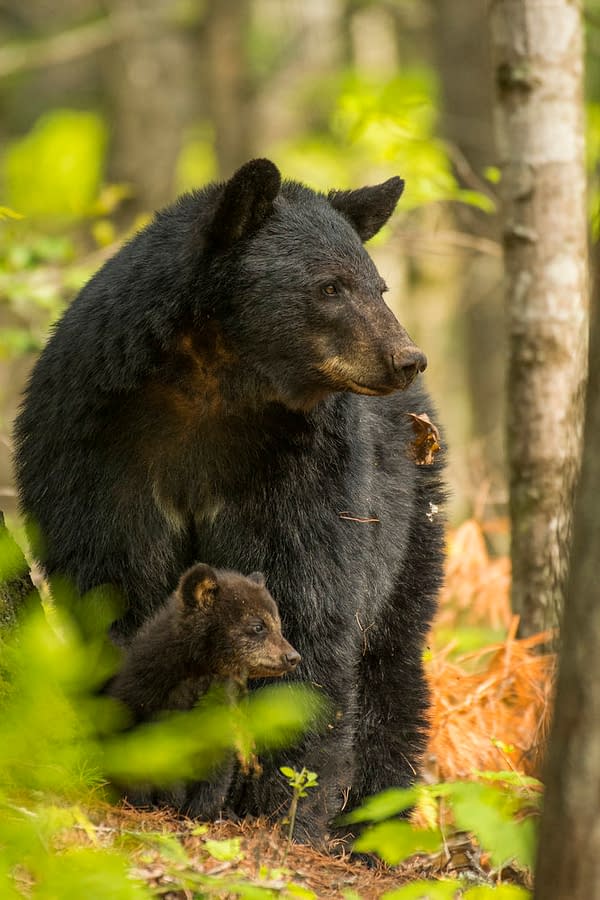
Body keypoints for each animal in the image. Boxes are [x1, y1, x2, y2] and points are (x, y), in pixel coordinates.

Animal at [14, 158, 446, 840]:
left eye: (378, 287)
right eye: (330, 287)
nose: (407, 358)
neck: (213, 384)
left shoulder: (301, 465)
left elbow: (308, 597)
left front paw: (285, 800)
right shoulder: (97, 447)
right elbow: (115, 587)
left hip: (409, 522)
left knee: (391, 662)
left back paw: (371, 826)